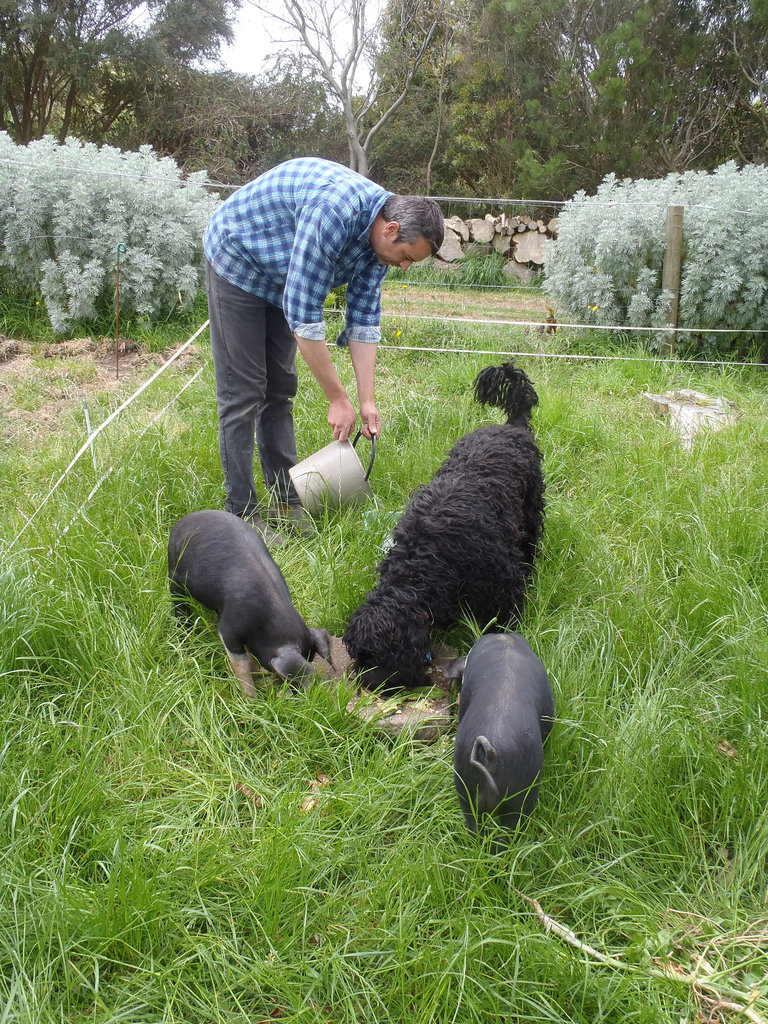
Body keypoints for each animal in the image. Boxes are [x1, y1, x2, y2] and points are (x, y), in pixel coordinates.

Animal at [342, 364, 548, 692]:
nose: (365, 683)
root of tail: (511, 426)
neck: (427, 560)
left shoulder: (502, 579)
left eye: (375, 657)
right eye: (358, 655)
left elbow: (506, 615)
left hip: (531, 510)